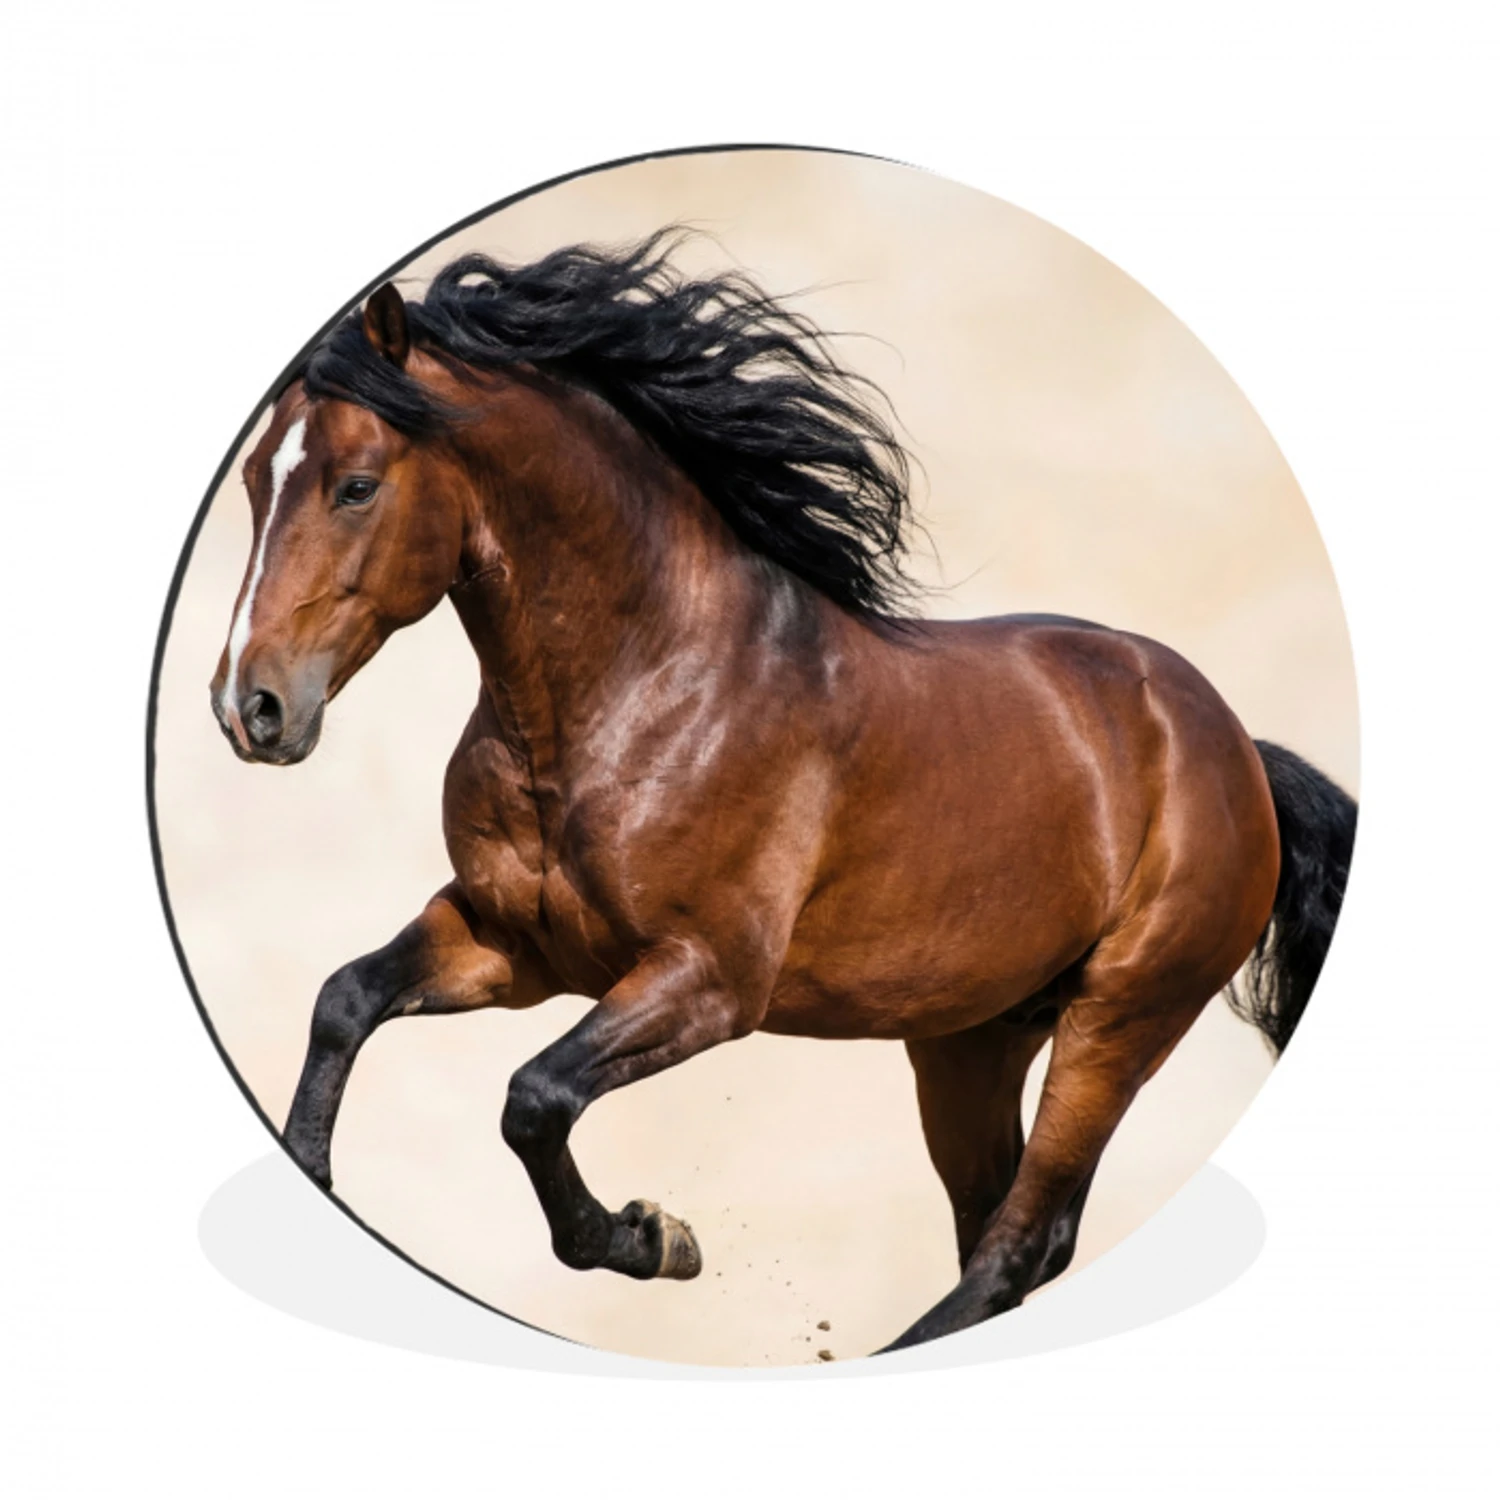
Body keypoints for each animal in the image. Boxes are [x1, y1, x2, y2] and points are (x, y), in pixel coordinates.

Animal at [208, 231, 1357, 1353]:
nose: (248, 707)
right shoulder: (513, 943)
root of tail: (1236, 750)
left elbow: (533, 1099)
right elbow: (345, 1001)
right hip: (971, 1039)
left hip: (1121, 1017)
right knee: (1000, 1232)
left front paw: (654, 1239)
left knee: (1023, 1242)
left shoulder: (710, 981)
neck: (640, 687)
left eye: (356, 485)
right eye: (259, 480)